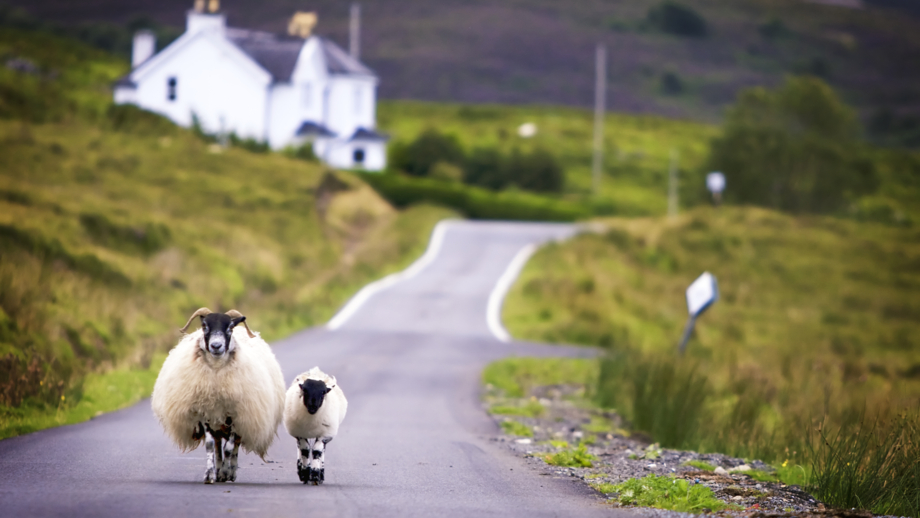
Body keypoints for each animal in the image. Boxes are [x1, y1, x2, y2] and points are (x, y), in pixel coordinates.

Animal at [151, 307, 286, 484]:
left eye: (229, 328)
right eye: (204, 326)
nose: (216, 346)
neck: (216, 373)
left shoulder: (235, 414)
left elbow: (229, 448)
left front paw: (227, 472)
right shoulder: (205, 412)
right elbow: (210, 445)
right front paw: (210, 474)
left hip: (242, 418)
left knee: (234, 445)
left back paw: (230, 472)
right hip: (217, 421)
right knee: (217, 444)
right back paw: (219, 470)